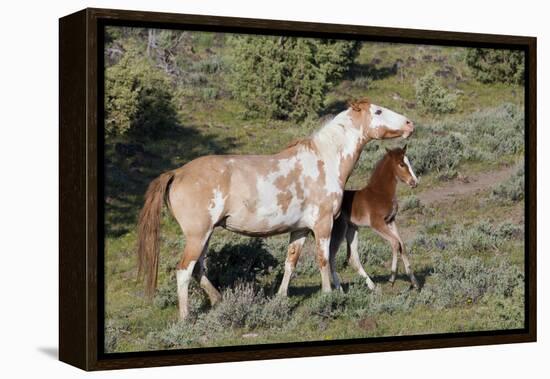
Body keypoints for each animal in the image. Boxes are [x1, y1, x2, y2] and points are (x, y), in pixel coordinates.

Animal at [280, 145, 422, 294]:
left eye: (408, 162)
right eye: (401, 164)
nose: (414, 182)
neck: (380, 193)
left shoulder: (391, 221)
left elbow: (402, 245)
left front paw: (415, 283)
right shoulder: (377, 223)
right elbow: (395, 243)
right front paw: (392, 278)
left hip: (352, 229)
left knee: (352, 256)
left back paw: (370, 286)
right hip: (340, 230)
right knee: (331, 256)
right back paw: (339, 288)